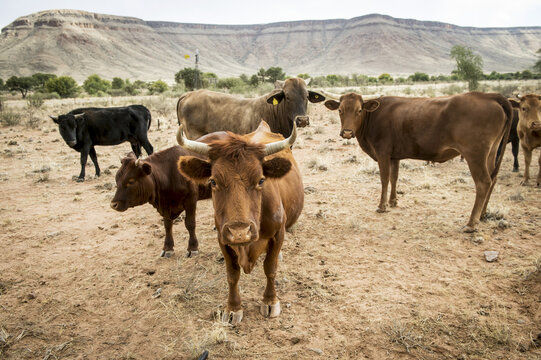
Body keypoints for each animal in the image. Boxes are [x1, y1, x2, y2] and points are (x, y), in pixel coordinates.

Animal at [177, 120, 304, 324]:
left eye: (261, 180)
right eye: (213, 182)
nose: (239, 232)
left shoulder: (278, 234)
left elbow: (270, 268)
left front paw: (270, 300)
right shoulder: (222, 239)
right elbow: (232, 275)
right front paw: (233, 307)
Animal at [324, 91, 510, 232]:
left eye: (359, 110)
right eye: (340, 110)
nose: (347, 132)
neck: (374, 117)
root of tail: (489, 96)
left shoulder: (383, 153)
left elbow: (384, 179)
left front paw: (382, 206)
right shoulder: (394, 156)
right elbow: (394, 177)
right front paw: (393, 201)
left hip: (475, 155)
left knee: (483, 182)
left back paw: (471, 223)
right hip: (491, 154)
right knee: (493, 179)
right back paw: (483, 214)